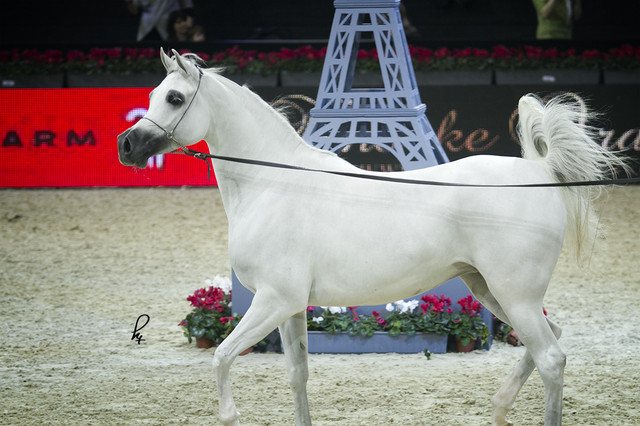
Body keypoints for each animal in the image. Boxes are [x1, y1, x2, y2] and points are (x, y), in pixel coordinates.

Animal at [117, 50, 627, 425]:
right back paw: (499, 409)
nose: (127, 146)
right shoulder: (289, 307)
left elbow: (221, 358)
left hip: (514, 294)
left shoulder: (271, 300)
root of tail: (540, 173)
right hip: (490, 289)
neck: (272, 184)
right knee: (548, 342)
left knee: (552, 358)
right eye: (153, 94)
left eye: (176, 98)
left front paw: (228, 413)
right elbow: (297, 375)